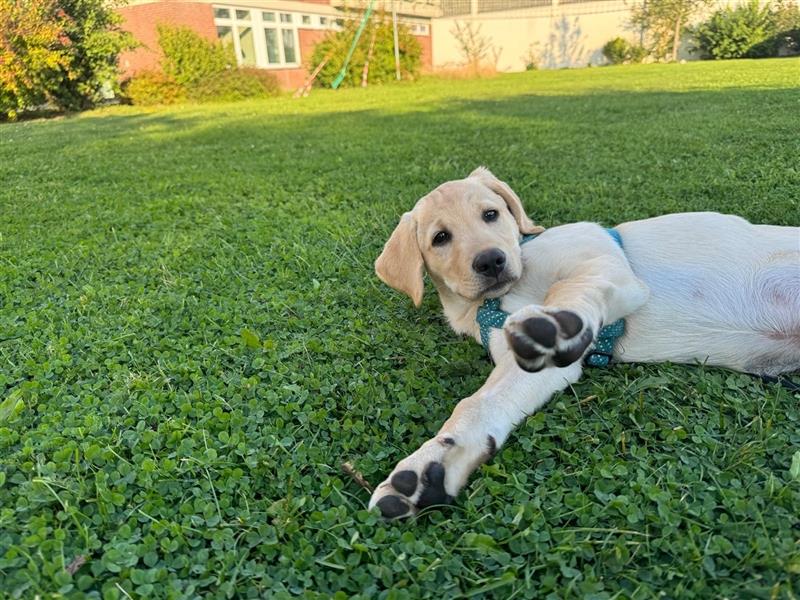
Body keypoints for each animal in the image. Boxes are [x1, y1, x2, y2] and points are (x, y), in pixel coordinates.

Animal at [368, 166, 800, 516]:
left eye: (491, 214)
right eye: (440, 238)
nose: (491, 261)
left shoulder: (607, 264)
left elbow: (573, 289)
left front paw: (555, 323)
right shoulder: (533, 368)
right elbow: (478, 405)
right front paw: (433, 465)